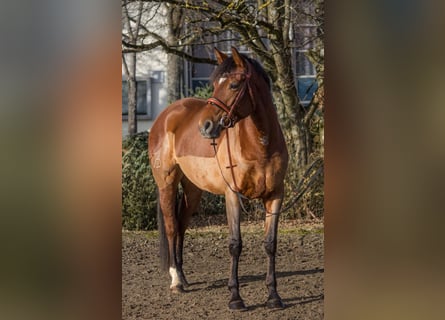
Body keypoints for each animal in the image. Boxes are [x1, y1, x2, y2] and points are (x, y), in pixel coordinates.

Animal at [148, 47, 288, 310]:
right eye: (214, 84)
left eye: (234, 85)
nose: (205, 126)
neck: (260, 145)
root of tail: (166, 115)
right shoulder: (232, 195)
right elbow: (235, 244)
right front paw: (235, 297)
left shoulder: (275, 196)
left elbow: (270, 244)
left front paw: (274, 296)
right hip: (167, 184)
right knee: (172, 227)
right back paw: (176, 281)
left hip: (193, 190)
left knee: (181, 225)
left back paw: (183, 276)